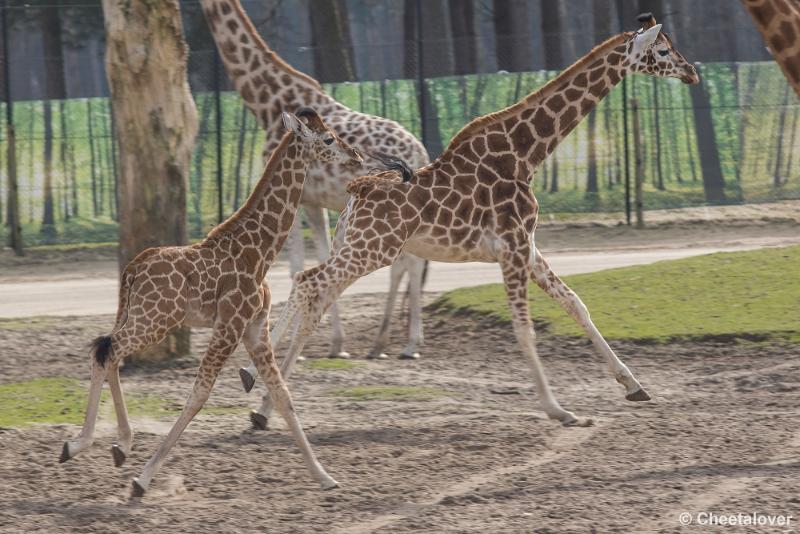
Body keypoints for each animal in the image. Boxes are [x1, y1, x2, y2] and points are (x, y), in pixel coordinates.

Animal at [200, 0, 432, 372]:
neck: (266, 102)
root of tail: (420, 151)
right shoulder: (312, 201)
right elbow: (321, 257)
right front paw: (336, 343)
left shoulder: (298, 199)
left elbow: (297, 265)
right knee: (408, 264)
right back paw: (388, 342)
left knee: (407, 264)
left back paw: (406, 344)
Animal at [260, 13, 696, 432]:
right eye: (662, 49)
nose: (692, 71)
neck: (525, 155)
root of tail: (357, 191)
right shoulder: (513, 247)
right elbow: (524, 327)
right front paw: (560, 411)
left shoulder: (528, 248)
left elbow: (576, 304)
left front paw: (634, 386)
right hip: (370, 251)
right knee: (307, 281)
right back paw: (259, 390)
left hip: (355, 247)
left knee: (315, 297)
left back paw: (265, 407)